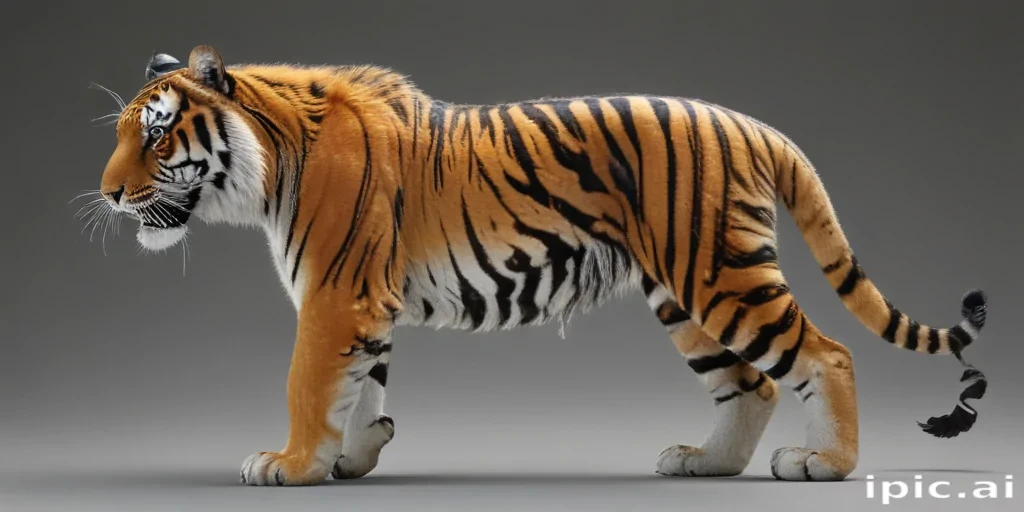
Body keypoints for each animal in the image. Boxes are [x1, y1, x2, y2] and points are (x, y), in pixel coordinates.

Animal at [93, 45, 989, 486]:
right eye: (125, 132)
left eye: (158, 136)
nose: (107, 194)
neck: (270, 163)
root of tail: (755, 126)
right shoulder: (367, 302)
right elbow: (363, 385)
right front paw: (355, 454)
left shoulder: (335, 295)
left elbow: (309, 384)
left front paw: (289, 465)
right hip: (684, 294)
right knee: (754, 385)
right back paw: (705, 464)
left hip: (720, 275)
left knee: (825, 356)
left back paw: (825, 465)